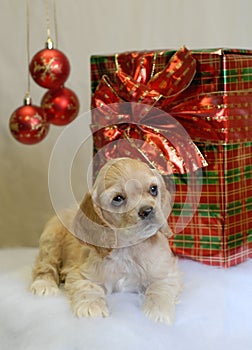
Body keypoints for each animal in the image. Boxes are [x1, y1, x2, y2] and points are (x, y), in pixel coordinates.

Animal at [30, 157, 182, 324]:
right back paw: (44, 284)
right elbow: (89, 287)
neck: (127, 248)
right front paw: (92, 308)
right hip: (51, 240)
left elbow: (160, 288)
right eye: (118, 198)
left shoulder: (167, 272)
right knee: (45, 265)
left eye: (153, 189)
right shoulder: (82, 273)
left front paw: (158, 313)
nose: (147, 210)